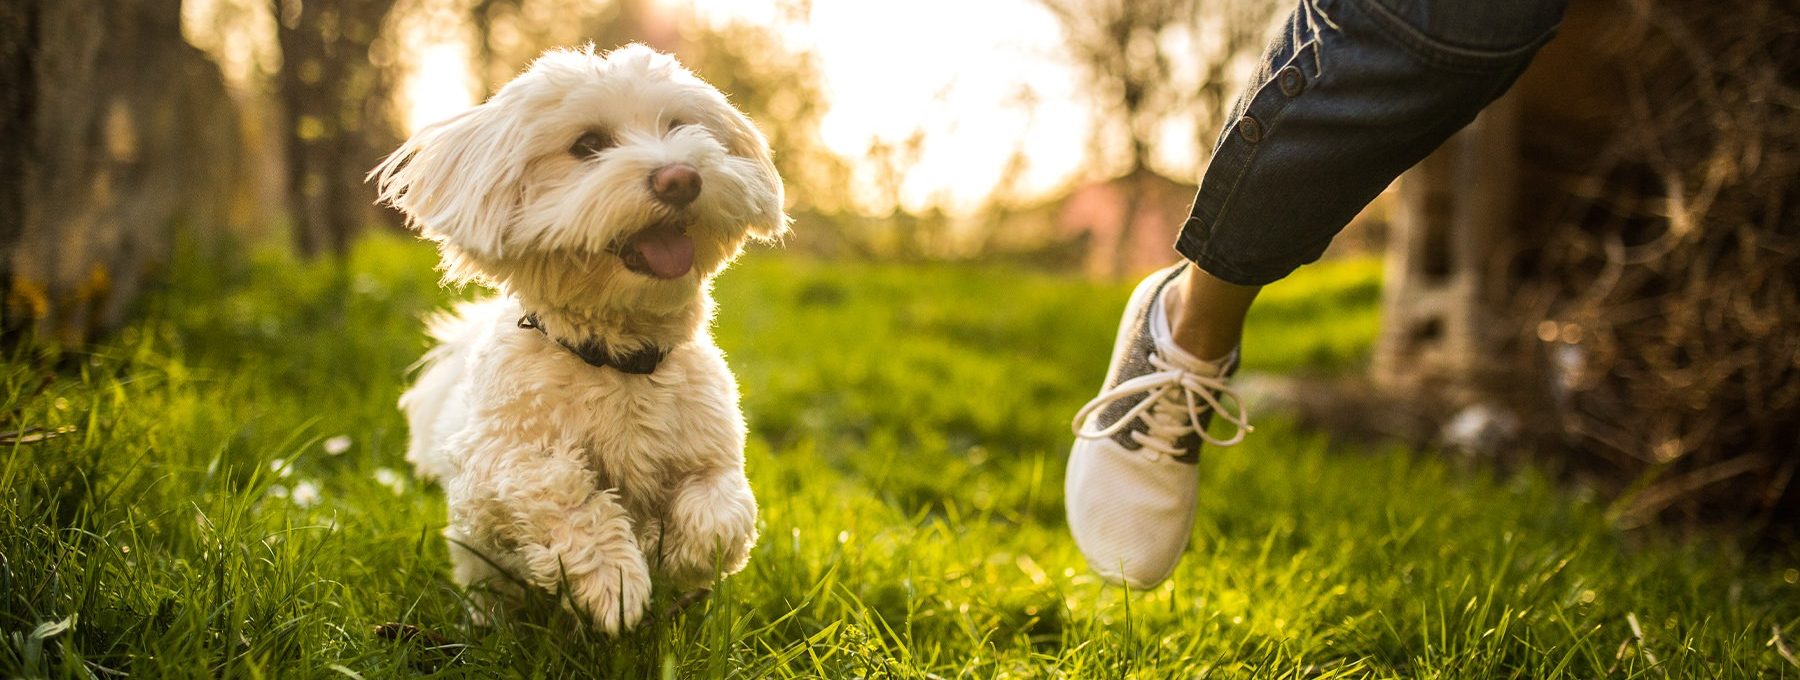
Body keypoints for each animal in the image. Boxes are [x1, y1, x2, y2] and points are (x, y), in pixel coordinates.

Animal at [370, 46, 781, 633]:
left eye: (679, 127)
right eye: (587, 145)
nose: (680, 178)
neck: (617, 359)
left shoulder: (713, 453)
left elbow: (720, 512)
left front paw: (673, 550)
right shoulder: (490, 465)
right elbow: (560, 488)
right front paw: (614, 580)